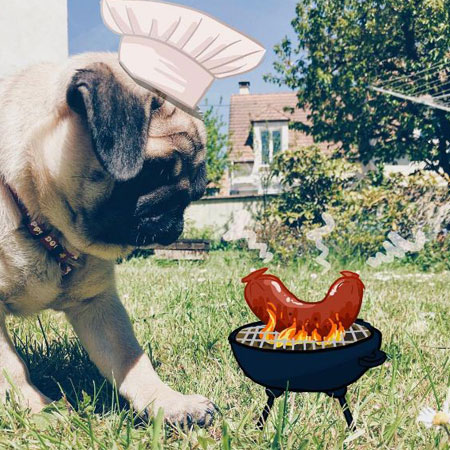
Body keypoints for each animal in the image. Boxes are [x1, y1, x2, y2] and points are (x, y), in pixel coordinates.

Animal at [0, 52, 216, 426]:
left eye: (198, 188)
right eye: (153, 171)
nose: (178, 212)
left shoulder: (98, 305)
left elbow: (130, 361)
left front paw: (169, 403)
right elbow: (12, 368)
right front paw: (39, 410)